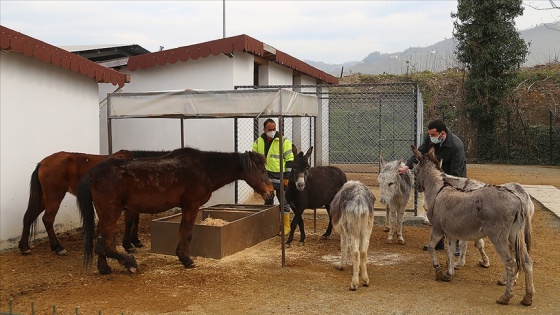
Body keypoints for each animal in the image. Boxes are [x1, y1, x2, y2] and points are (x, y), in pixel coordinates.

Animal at [18, 149, 170, 256]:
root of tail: (43, 163)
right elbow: (129, 222)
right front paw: (128, 245)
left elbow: (135, 221)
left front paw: (135, 241)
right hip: (54, 197)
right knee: (48, 219)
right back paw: (58, 247)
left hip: (45, 199)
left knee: (28, 217)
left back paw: (24, 247)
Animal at [76, 147, 274, 276]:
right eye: (263, 170)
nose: (271, 193)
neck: (204, 169)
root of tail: (92, 173)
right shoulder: (191, 205)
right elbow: (187, 233)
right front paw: (187, 260)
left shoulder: (186, 207)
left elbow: (181, 232)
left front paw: (182, 256)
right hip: (111, 212)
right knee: (103, 244)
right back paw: (129, 263)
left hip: (106, 215)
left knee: (102, 242)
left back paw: (105, 268)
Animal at [414, 145, 536, 306]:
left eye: (415, 170)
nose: (417, 187)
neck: (439, 189)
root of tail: (519, 198)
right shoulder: (451, 233)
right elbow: (450, 252)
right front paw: (449, 273)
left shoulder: (438, 229)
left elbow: (431, 247)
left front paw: (438, 270)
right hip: (514, 236)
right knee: (526, 261)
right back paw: (527, 297)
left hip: (499, 238)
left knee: (510, 262)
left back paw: (505, 296)